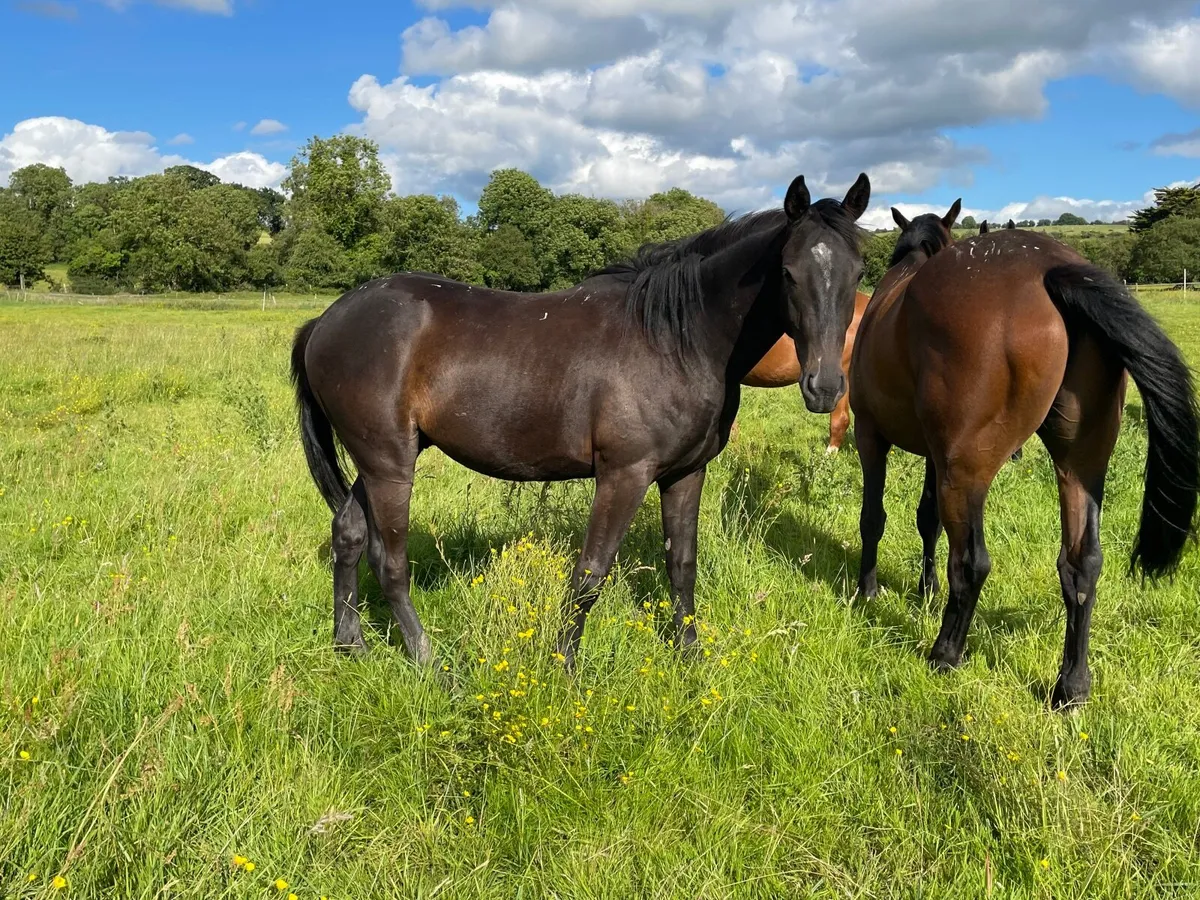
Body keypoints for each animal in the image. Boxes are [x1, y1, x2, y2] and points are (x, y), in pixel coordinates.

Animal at [850, 212, 1200, 709]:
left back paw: (945, 654)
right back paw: (1071, 686)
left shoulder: (871, 435)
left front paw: (868, 591)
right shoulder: (933, 456)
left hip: (966, 472)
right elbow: (926, 518)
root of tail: (1050, 268)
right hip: (1079, 466)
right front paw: (925, 589)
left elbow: (873, 517)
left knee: (972, 562)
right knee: (1082, 564)